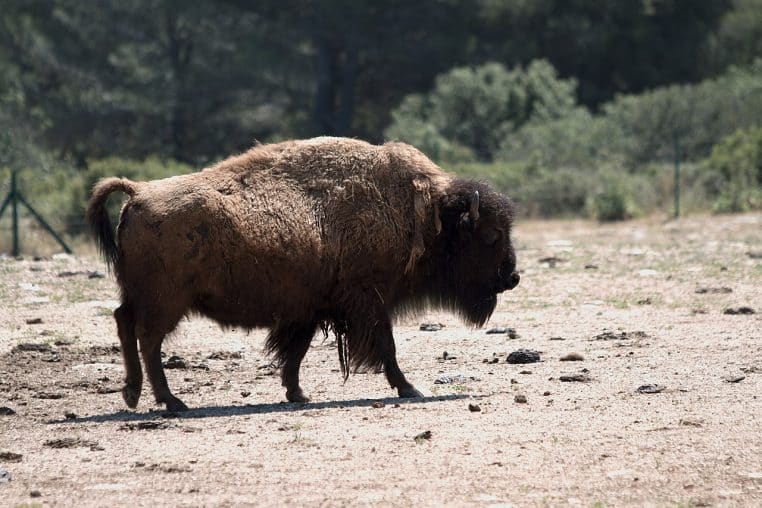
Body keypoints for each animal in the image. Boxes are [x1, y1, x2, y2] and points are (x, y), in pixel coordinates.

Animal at [88, 137, 519, 411]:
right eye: (490, 235)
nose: (512, 277)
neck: (425, 214)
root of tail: (139, 193)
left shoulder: (310, 309)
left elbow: (295, 352)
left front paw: (297, 394)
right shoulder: (369, 303)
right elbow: (386, 348)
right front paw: (410, 388)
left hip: (142, 297)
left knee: (125, 324)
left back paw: (134, 394)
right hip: (166, 303)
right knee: (148, 339)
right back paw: (171, 401)